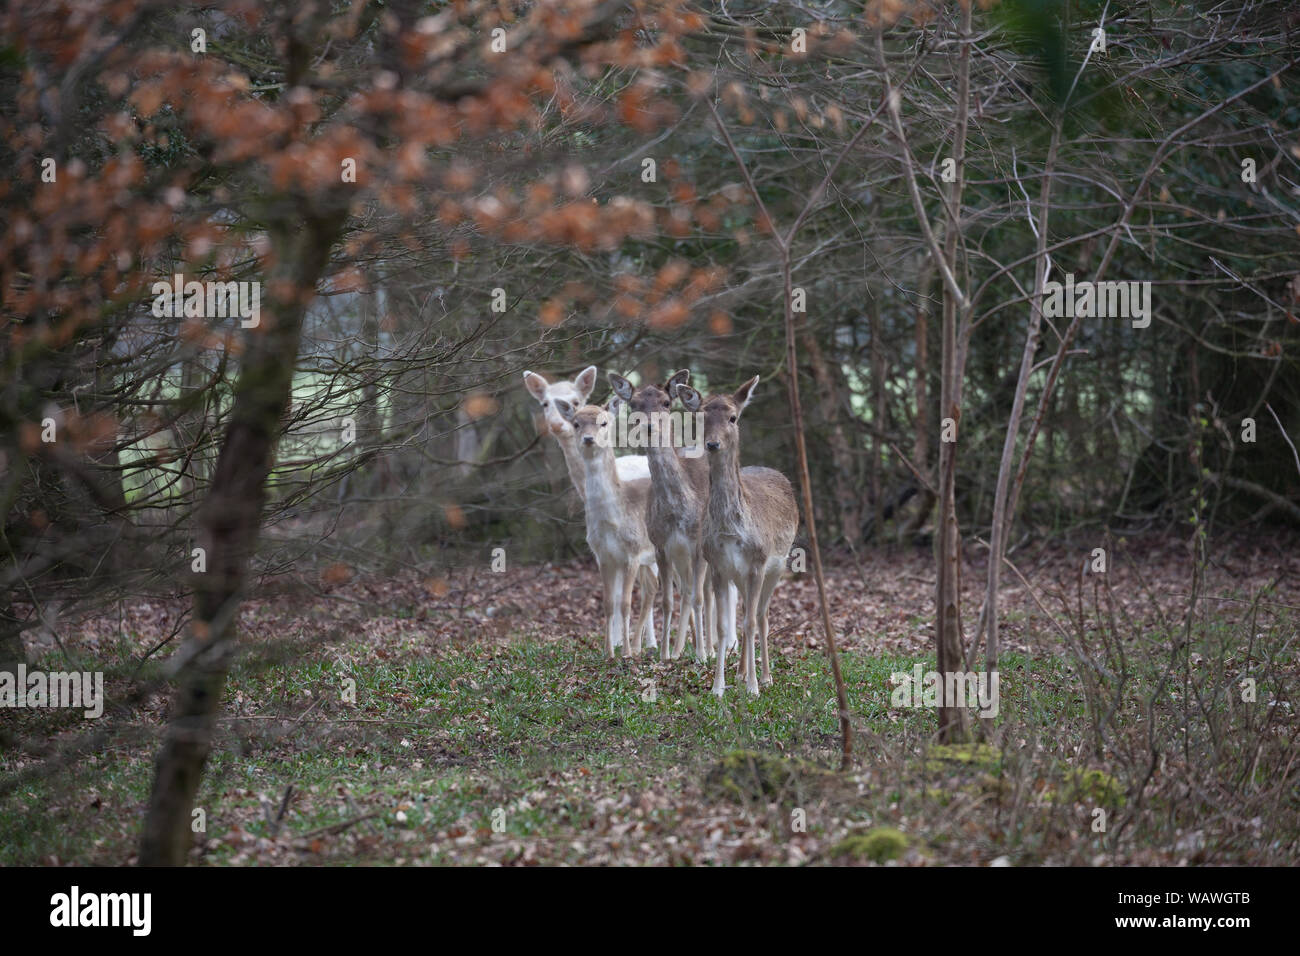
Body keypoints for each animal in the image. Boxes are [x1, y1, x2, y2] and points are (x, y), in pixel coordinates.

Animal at [676, 374, 795, 697]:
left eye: (733, 417)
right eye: (702, 416)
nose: (712, 443)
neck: (731, 531)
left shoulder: (758, 562)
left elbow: (751, 623)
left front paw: (754, 687)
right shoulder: (718, 565)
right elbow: (721, 628)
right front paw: (718, 688)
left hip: (776, 566)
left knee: (762, 617)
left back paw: (764, 677)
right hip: (739, 575)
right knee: (744, 614)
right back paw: (741, 673)